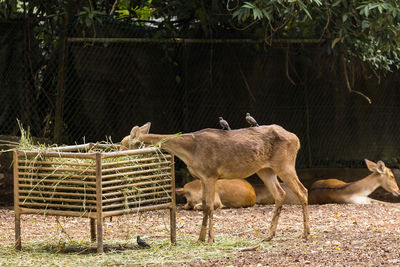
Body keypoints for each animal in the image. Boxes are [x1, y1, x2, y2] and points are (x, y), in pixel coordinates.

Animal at [120, 122, 310, 244]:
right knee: (280, 194)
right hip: (265, 169)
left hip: (285, 164)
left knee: (303, 191)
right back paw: (269, 236)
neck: (190, 151)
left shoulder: (211, 174)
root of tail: (297, 139)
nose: (117, 152)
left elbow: (210, 207)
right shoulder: (203, 177)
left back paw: (306, 234)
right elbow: (205, 205)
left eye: (123, 144)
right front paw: (201, 238)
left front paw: (210, 239)